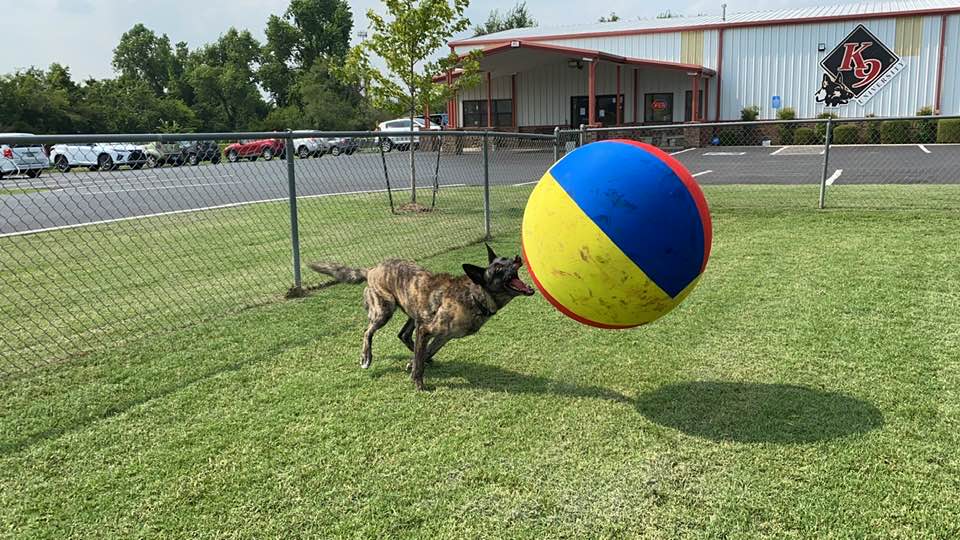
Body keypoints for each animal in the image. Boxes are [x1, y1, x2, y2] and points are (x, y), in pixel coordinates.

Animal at [308, 244, 532, 388]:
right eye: (499, 268)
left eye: (506, 260)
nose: (517, 259)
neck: (474, 295)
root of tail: (371, 269)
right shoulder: (427, 329)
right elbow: (420, 358)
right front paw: (418, 383)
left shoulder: (443, 336)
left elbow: (426, 352)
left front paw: (416, 362)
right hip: (384, 310)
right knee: (367, 331)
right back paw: (366, 357)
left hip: (414, 311)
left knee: (404, 335)